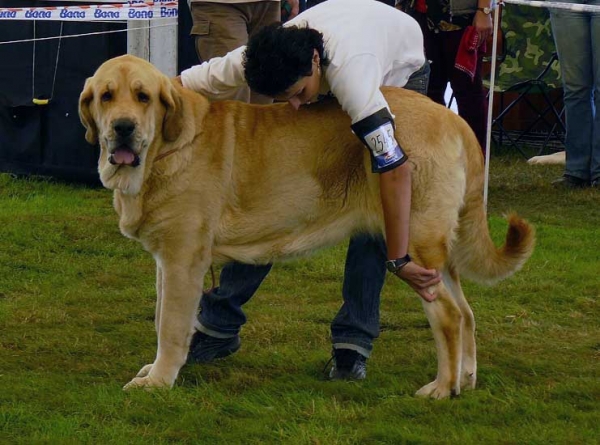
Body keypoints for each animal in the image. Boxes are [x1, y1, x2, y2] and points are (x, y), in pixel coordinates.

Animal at [78, 53, 536, 398]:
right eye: (106, 97)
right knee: (467, 312)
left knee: (449, 317)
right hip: (436, 253)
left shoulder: (182, 260)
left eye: (143, 97)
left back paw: (442, 388)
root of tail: (456, 120)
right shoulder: (167, 262)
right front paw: (157, 369)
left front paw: (158, 381)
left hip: (416, 244)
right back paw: (467, 379)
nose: (122, 127)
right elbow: (162, 319)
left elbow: (171, 327)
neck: (165, 150)